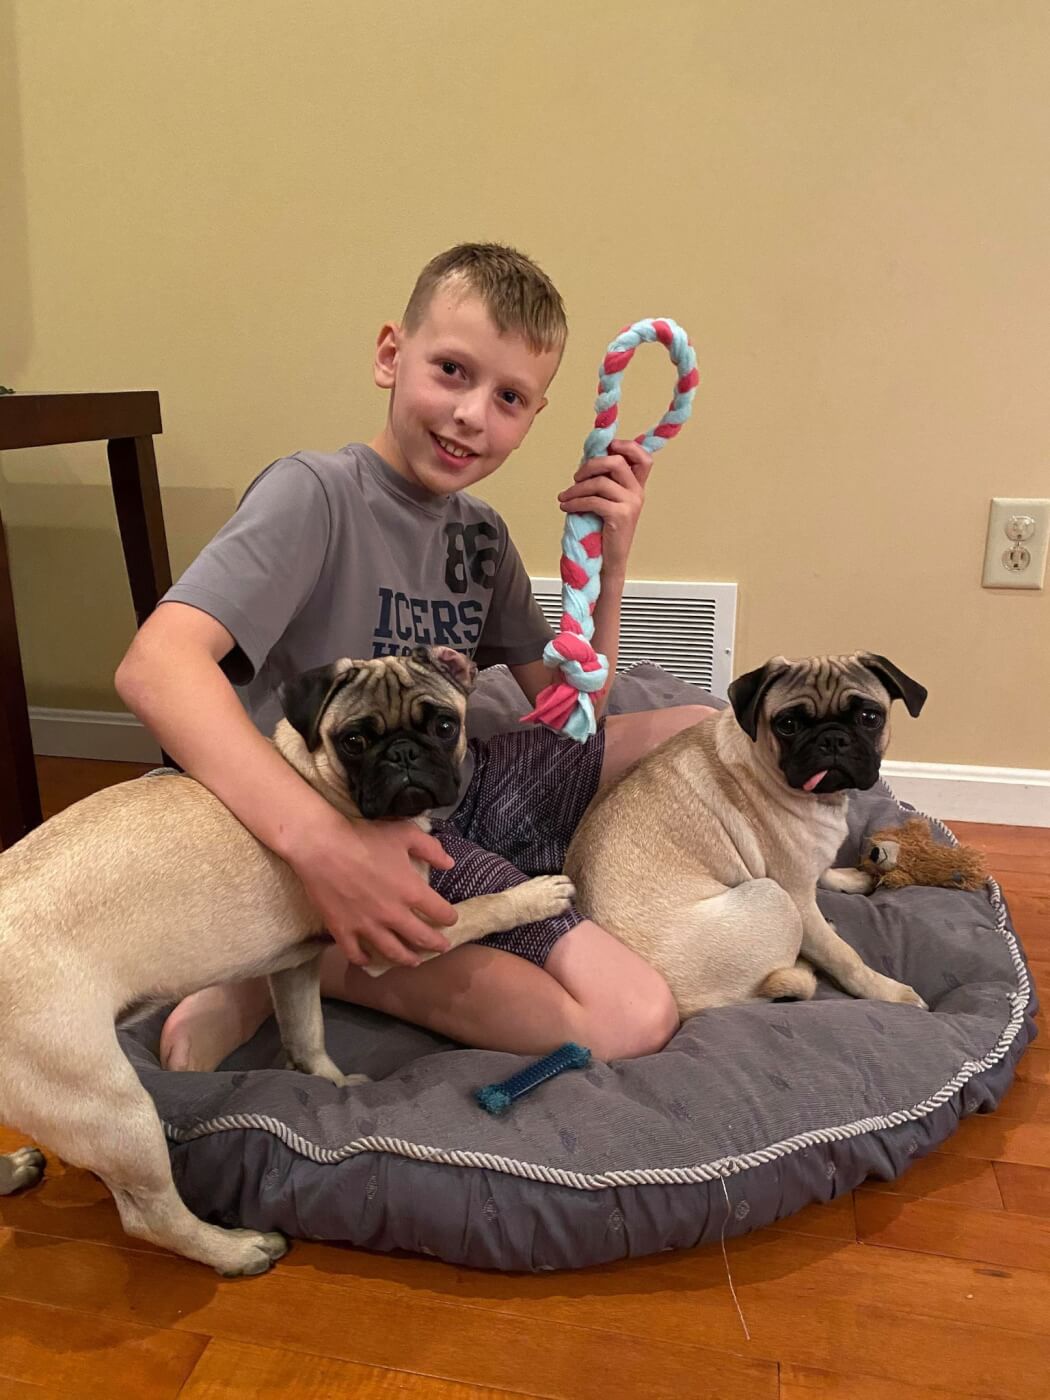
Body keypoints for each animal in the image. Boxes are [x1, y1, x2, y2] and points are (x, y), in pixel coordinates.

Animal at [0, 649, 571, 1276]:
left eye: (444, 726)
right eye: (354, 741)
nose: (403, 754)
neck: (318, 782)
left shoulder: (295, 968)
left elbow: (306, 1035)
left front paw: (332, 1083)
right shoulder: (406, 932)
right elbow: (480, 910)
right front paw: (536, 896)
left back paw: (12, 1171)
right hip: (114, 1111)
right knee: (149, 1217)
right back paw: (237, 1250)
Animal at [568, 649, 929, 1024]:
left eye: (869, 717)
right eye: (788, 725)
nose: (832, 738)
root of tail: (690, 1008)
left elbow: (824, 871)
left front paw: (848, 878)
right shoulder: (797, 897)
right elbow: (845, 958)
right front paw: (890, 992)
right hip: (774, 897)